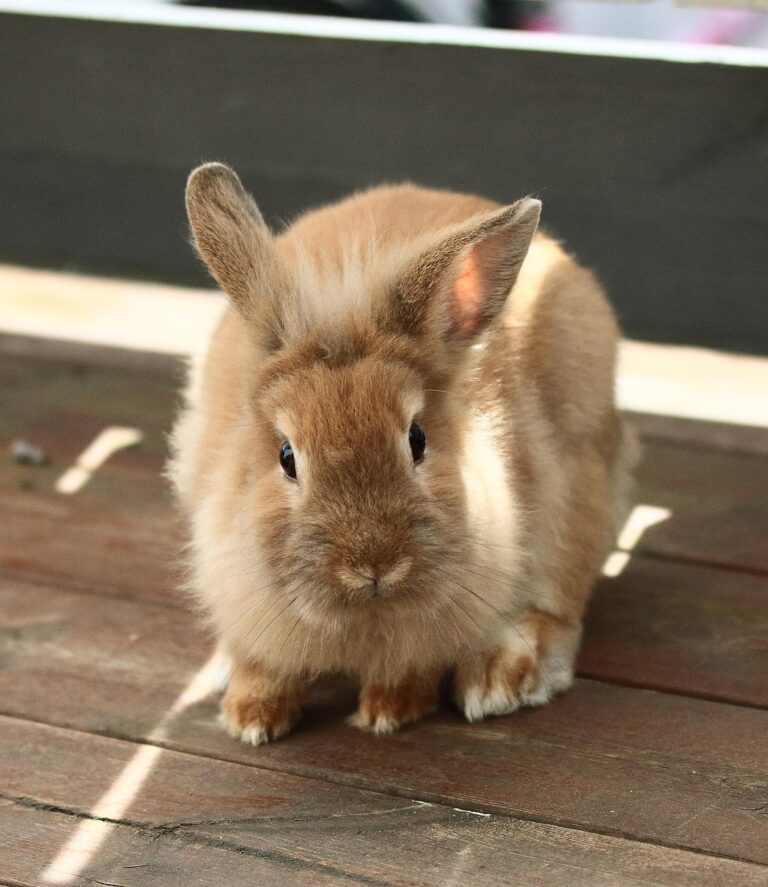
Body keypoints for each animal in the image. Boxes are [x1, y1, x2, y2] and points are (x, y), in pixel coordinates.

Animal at [169, 162, 633, 745]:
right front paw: (250, 717)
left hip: (576, 500)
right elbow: (266, 666)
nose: (373, 566)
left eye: (417, 439)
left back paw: (499, 678)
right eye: (287, 457)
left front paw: (388, 711)